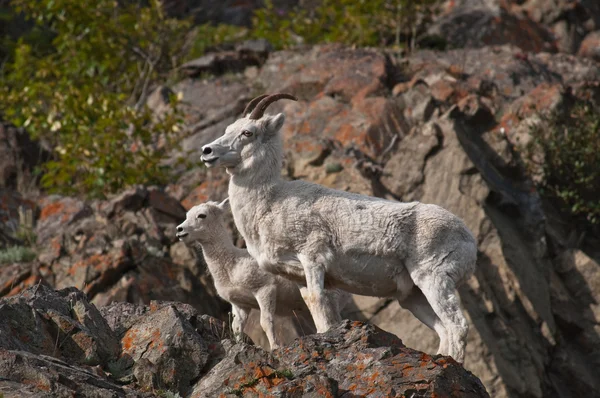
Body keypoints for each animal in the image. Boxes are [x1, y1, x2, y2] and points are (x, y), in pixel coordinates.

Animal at [176, 199, 350, 348]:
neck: (232, 265)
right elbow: (236, 328)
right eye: (186, 215)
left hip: (332, 300)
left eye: (202, 215)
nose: (179, 230)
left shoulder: (264, 290)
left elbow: (266, 322)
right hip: (305, 311)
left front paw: (275, 347)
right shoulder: (240, 305)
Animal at [200, 94, 478, 364]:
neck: (270, 203)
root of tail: (469, 240)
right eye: (228, 129)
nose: (207, 151)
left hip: (434, 278)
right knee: (443, 330)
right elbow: (315, 306)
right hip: (413, 296)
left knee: (457, 327)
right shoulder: (298, 276)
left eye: (248, 132)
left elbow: (318, 303)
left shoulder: (313, 258)